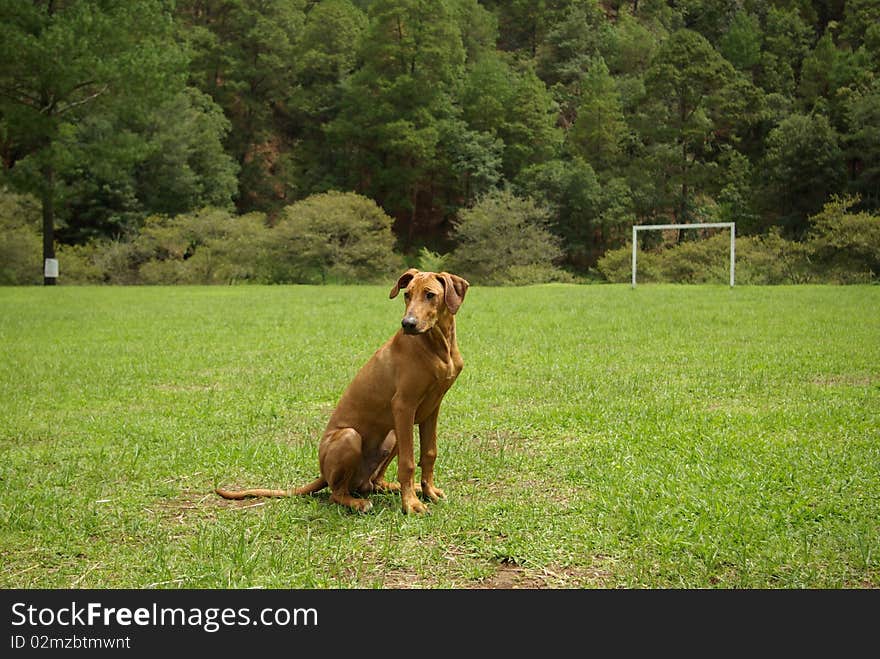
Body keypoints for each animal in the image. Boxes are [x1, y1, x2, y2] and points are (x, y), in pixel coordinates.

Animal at [215, 270, 468, 516]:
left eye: (430, 295)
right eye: (407, 295)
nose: (408, 324)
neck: (438, 345)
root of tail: (323, 474)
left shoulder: (431, 408)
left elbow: (429, 453)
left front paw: (428, 491)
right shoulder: (403, 406)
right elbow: (408, 462)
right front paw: (411, 504)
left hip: (392, 434)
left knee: (373, 483)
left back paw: (394, 487)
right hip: (350, 436)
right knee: (336, 493)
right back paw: (358, 503)